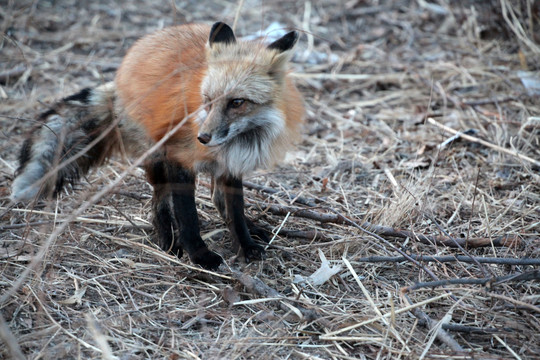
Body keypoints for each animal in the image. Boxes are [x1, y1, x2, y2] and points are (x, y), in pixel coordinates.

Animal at [10, 21, 304, 270]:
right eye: (207, 99)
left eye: (237, 102)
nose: (203, 138)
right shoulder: (178, 159)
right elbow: (187, 217)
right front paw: (199, 255)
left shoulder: (232, 165)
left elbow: (235, 211)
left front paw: (246, 244)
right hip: (157, 159)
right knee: (159, 202)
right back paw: (167, 242)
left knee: (216, 199)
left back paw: (252, 228)